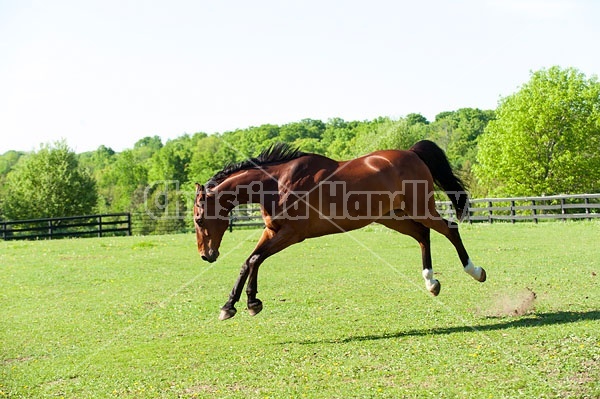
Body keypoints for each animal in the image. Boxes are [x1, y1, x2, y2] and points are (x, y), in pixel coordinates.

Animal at [195, 141, 486, 322]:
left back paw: (475, 271)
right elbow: (248, 262)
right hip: (393, 216)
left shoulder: (290, 235)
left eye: (198, 220)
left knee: (449, 229)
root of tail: (412, 152)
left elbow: (255, 259)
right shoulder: (271, 231)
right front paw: (231, 306)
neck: (277, 184)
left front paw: (251, 303)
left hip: (419, 208)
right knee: (423, 235)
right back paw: (431, 283)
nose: (206, 256)